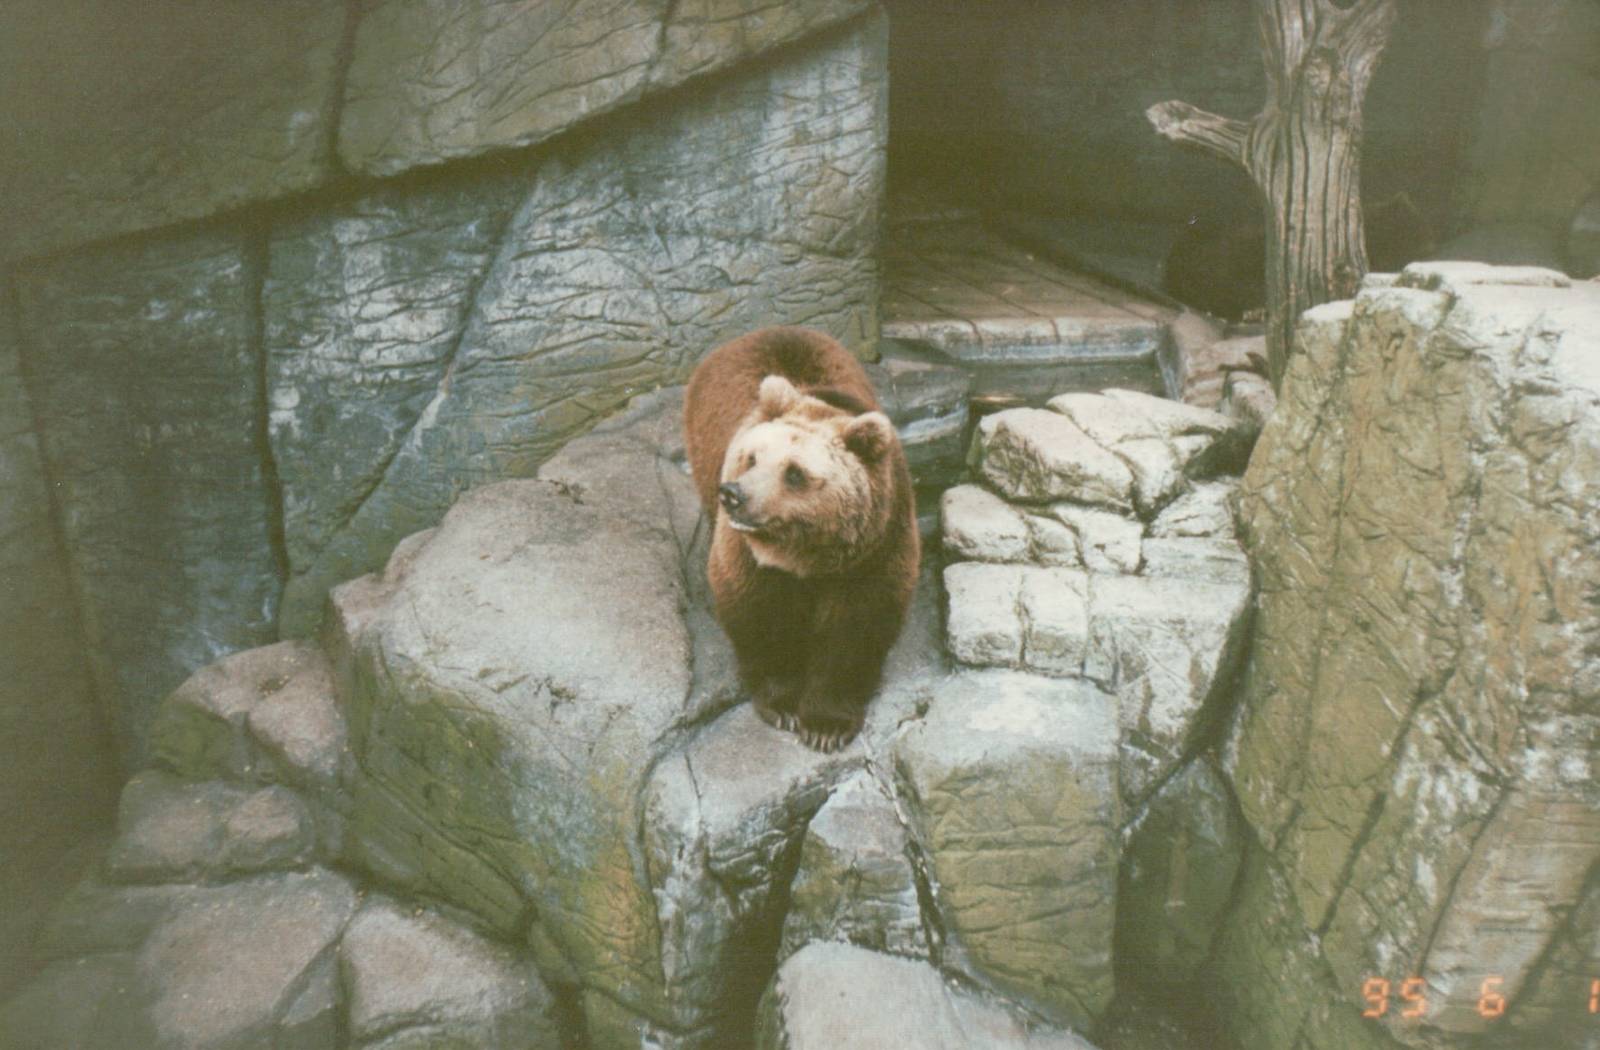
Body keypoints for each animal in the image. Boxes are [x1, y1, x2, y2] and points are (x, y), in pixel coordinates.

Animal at [684, 327, 920, 753]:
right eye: (752, 457)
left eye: (794, 473)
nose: (734, 495)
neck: (808, 556)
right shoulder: (749, 557)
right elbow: (760, 614)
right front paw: (784, 705)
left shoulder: (875, 548)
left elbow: (856, 627)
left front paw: (826, 725)